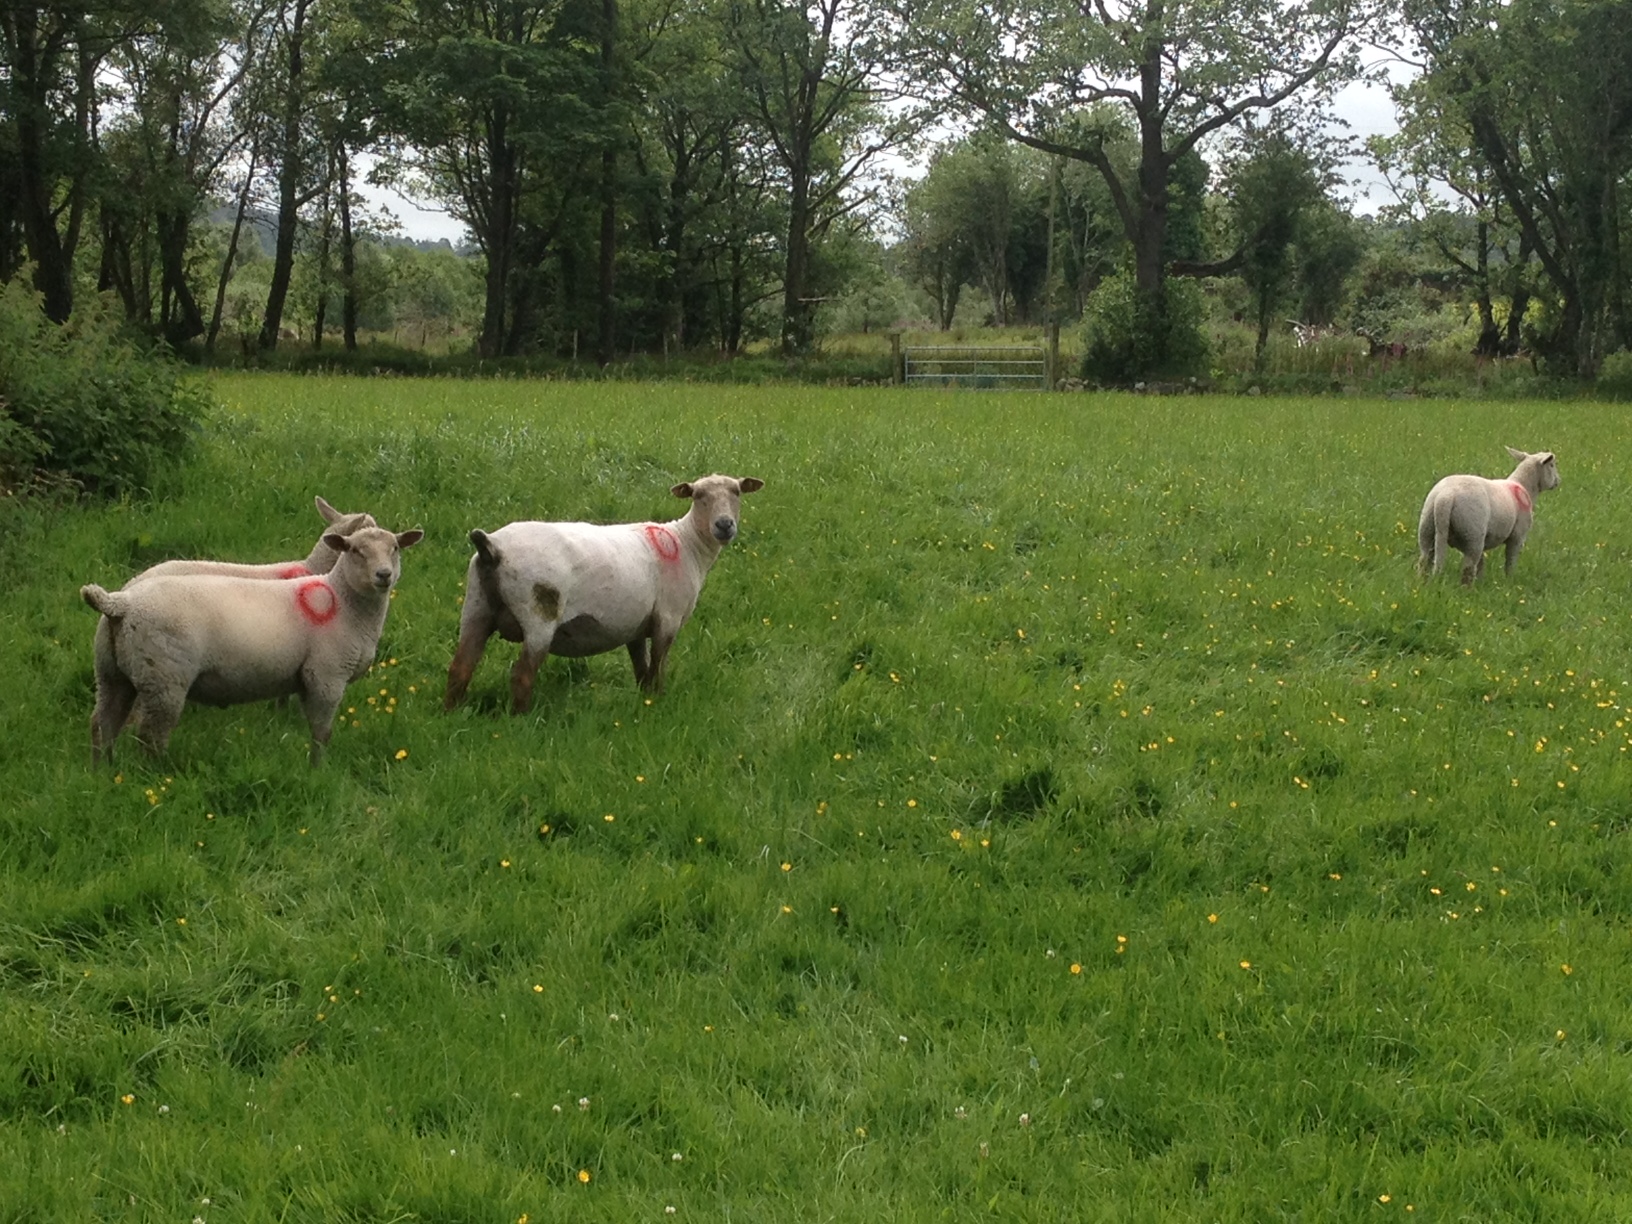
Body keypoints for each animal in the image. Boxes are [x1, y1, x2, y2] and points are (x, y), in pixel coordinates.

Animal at [81, 525, 423, 766]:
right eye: (354, 549)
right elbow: (321, 733)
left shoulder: (305, 679)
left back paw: (104, 772)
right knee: (150, 736)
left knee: (102, 724)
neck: (342, 601)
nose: (384, 575)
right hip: (164, 677)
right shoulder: (326, 676)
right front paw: (317, 769)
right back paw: (156, 775)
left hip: (112, 672)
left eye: (395, 548)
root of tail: (121, 602)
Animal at [444, 474, 764, 714]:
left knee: (460, 668)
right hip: (539, 614)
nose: (724, 525)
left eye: (737, 492)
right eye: (698, 495)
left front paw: (645, 701)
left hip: (476, 608)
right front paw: (659, 702)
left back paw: (453, 713)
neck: (687, 543)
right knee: (522, 675)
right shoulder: (668, 619)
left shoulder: (636, 626)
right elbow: (658, 667)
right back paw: (519, 718)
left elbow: (641, 670)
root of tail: (492, 546)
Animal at [1418, 446, 1560, 584]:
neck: (1525, 487)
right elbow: (1510, 563)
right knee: (1468, 569)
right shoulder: (1517, 536)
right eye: (1552, 465)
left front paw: (1481, 583)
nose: (1558, 481)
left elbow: (1481, 565)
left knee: (1424, 561)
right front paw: (1509, 583)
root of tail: (1446, 496)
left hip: (1427, 527)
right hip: (1473, 534)